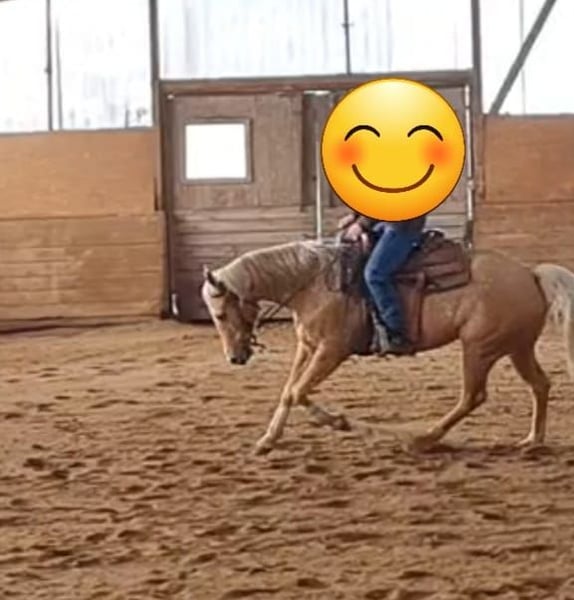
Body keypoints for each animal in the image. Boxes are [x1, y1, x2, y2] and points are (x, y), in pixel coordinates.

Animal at [200, 238, 574, 455]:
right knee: (540, 385)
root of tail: (530, 274)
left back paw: (422, 439)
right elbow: (289, 392)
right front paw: (268, 440)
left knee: (473, 396)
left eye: (220, 313)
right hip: (516, 347)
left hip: (479, 348)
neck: (313, 284)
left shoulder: (332, 351)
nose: (235, 357)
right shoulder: (308, 347)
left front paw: (337, 422)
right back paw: (533, 440)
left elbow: (296, 392)